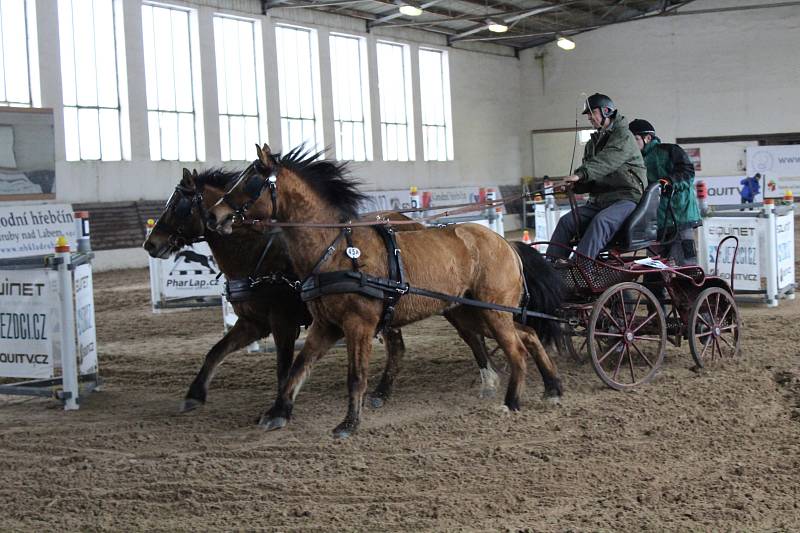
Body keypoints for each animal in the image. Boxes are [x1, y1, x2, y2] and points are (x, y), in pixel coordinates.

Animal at [206, 144, 564, 436]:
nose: (214, 215)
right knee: (529, 335)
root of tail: (506, 243)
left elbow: (356, 375)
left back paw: (512, 402)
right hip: (472, 312)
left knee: (516, 349)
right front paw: (277, 412)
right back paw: (553, 387)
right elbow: (299, 367)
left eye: (251, 182)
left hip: (492, 311)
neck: (335, 249)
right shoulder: (325, 325)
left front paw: (348, 423)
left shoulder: (358, 324)